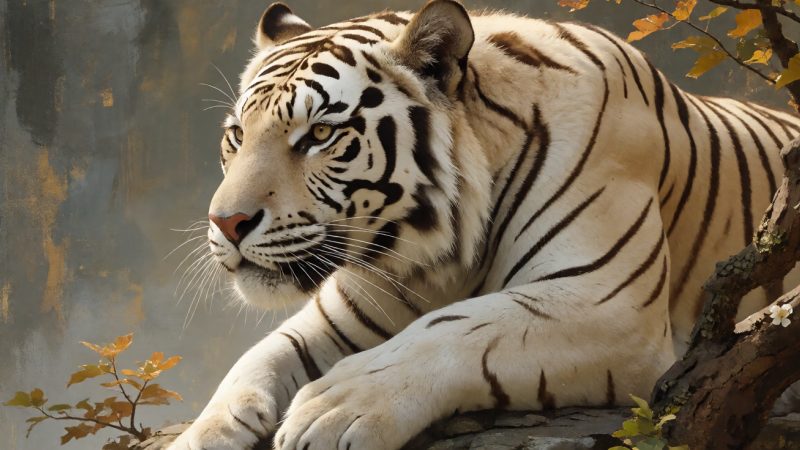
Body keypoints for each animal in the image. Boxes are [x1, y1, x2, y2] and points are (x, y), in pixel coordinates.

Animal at [168, 1, 800, 449]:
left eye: (320, 134)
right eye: (236, 136)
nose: (227, 222)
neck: (427, 257)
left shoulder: (607, 303)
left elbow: (455, 329)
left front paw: (333, 408)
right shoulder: (344, 316)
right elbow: (259, 357)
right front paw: (204, 433)